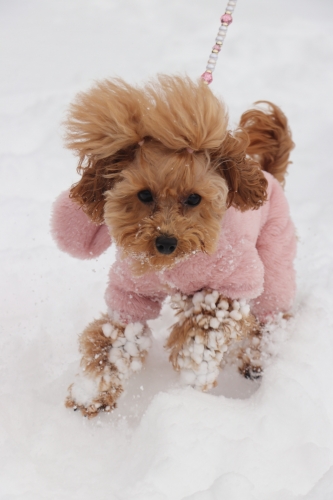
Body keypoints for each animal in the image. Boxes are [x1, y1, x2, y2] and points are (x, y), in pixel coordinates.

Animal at [52, 74, 296, 418]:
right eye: (144, 195)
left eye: (193, 198)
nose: (166, 242)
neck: (173, 265)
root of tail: (267, 174)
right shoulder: (130, 296)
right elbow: (114, 341)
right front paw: (91, 391)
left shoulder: (232, 284)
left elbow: (207, 325)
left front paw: (196, 367)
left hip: (274, 251)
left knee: (273, 317)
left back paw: (256, 360)